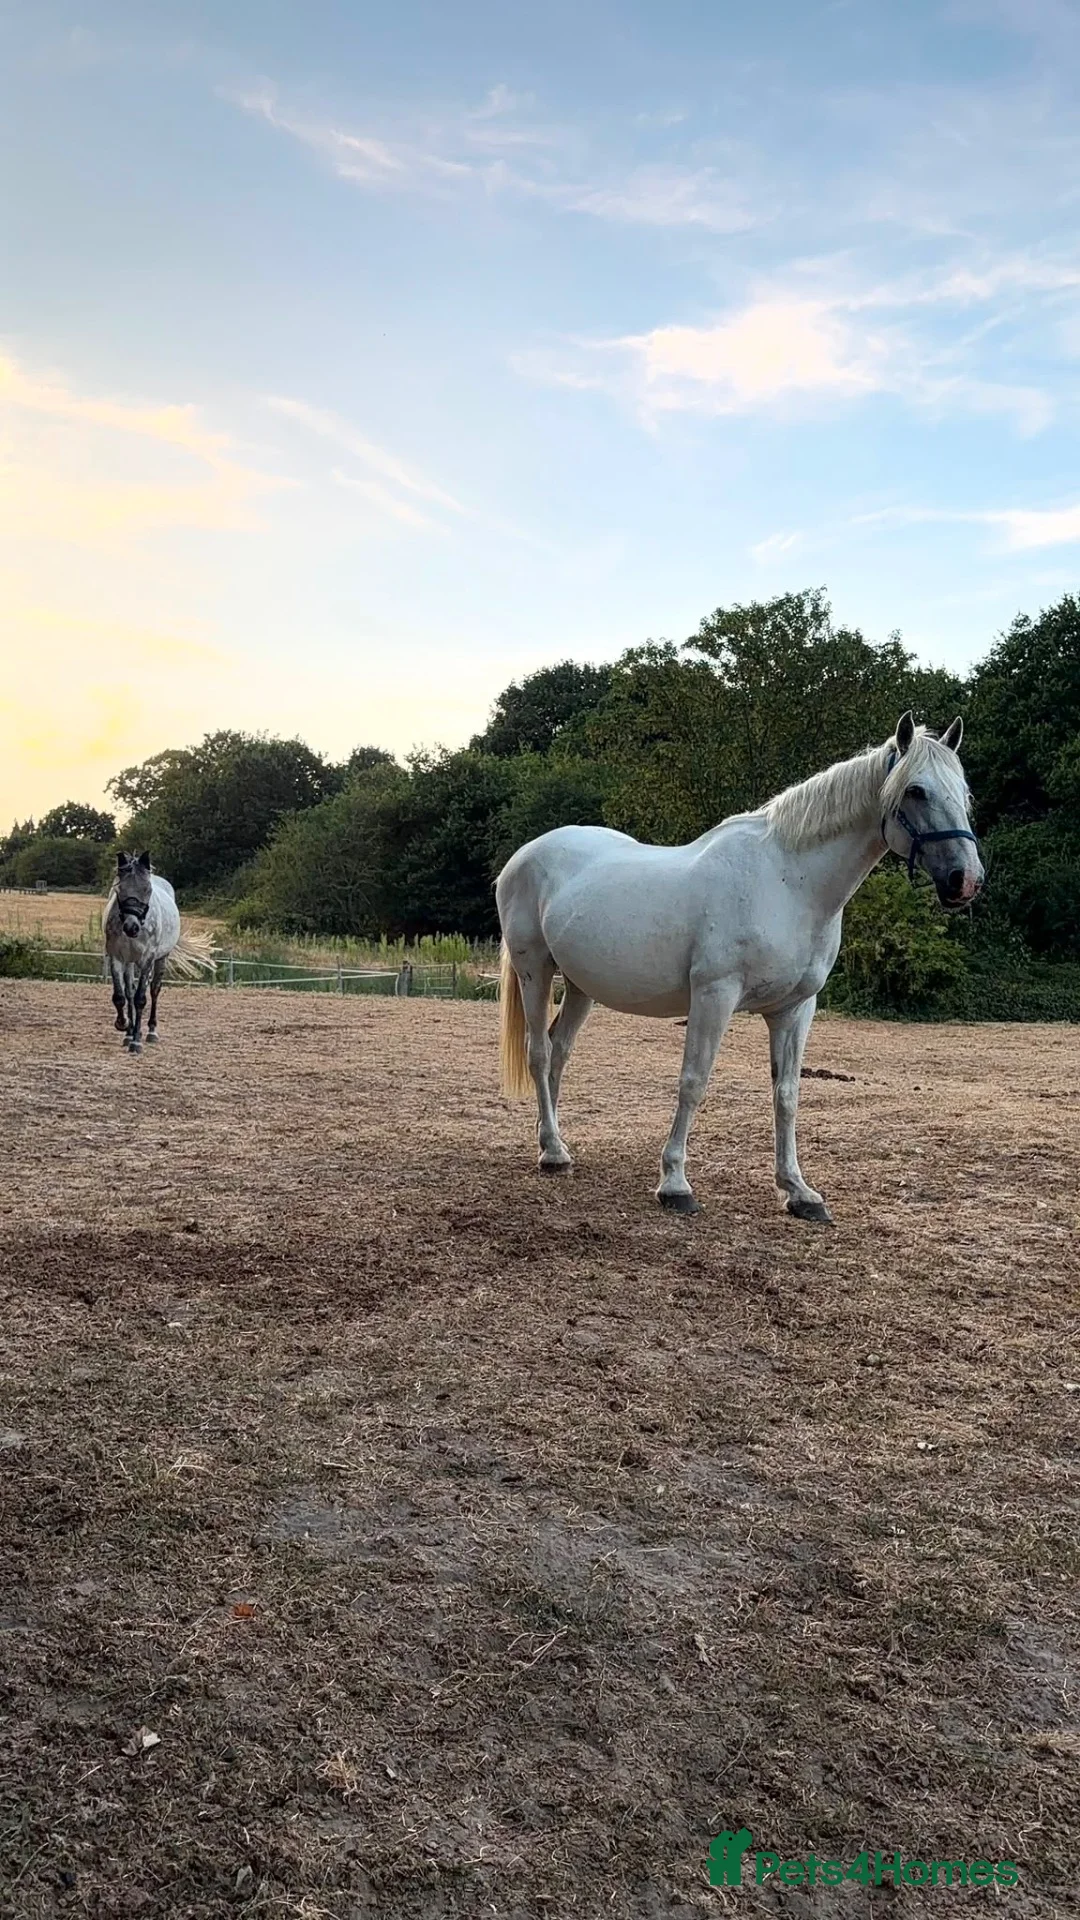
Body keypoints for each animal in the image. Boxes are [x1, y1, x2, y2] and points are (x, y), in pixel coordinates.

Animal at [104, 850, 216, 1054]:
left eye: (147, 890)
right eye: (119, 889)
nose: (131, 927)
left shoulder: (148, 959)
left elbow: (141, 998)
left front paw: (136, 1043)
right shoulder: (116, 957)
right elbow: (121, 996)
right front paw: (123, 1025)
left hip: (161, 959)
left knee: (154, 990)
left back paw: (150, 1032)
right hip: (130, 961)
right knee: (130, 991)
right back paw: (130, 1033)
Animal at [495, 712, 982, 1223]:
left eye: (963, 790)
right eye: (916, 791)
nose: (965, 880)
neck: (788, 884)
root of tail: (523, 856)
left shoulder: (795, 1009)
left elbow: (787, 1094)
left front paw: (798, 1191)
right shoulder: (715, 995)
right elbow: (693, 1081)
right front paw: (675, 1183)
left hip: (580, 986)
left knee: (559, 1051)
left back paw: (554, 1142)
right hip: (535, 972)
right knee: (539, 1052)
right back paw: (552, 1153)